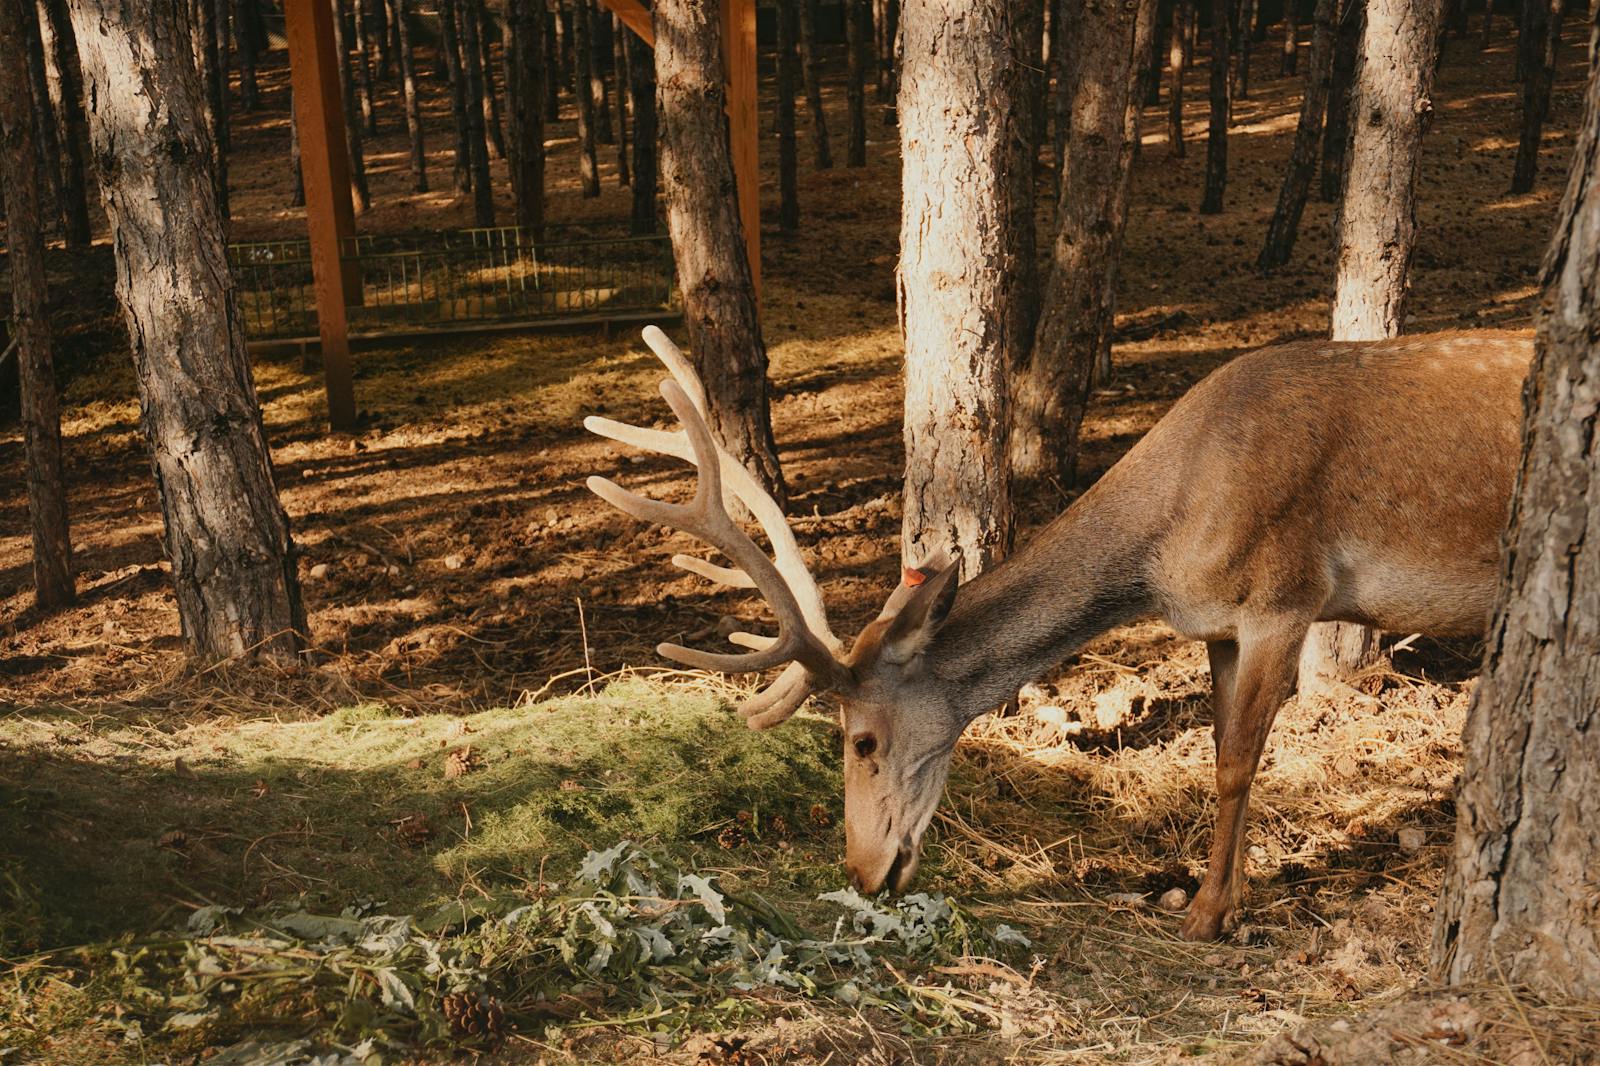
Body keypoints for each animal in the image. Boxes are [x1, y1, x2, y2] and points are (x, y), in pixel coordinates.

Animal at [582, 323, 1529, 941]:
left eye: (860, 741)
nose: (861, 871)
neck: (1165, 551)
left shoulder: (1282, 597)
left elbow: (1235, 763)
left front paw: (1209, 917)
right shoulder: (1220, 625)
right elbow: (1221, 748)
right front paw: (1209, 899)